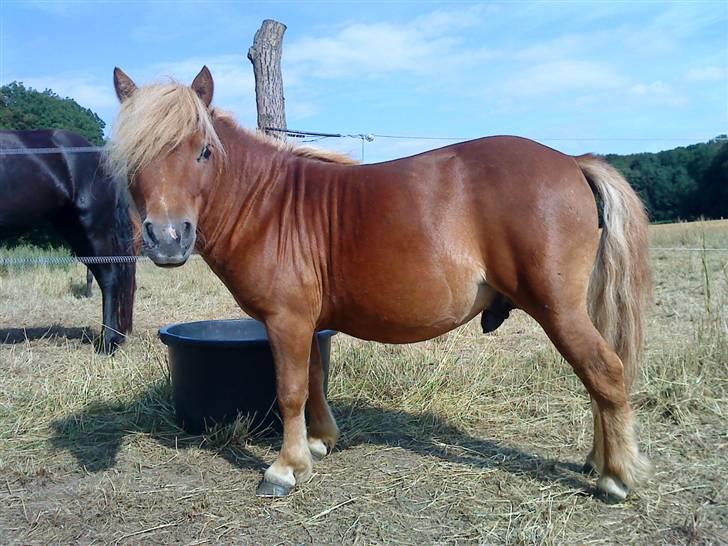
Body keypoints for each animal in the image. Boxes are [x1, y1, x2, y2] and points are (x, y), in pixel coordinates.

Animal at [109, 67, 656, 498]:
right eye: (132, 156)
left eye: (203, 152)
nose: (168, 238)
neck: (269, 204)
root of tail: (571, 162)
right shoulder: (308, 322)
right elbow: (314, 380)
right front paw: (318, 442)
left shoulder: (286, 320)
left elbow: (289, 390)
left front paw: (285, 469)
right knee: (597, 379)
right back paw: (601, 460)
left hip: (557, 309)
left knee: (604, 372)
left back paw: (615, 477)